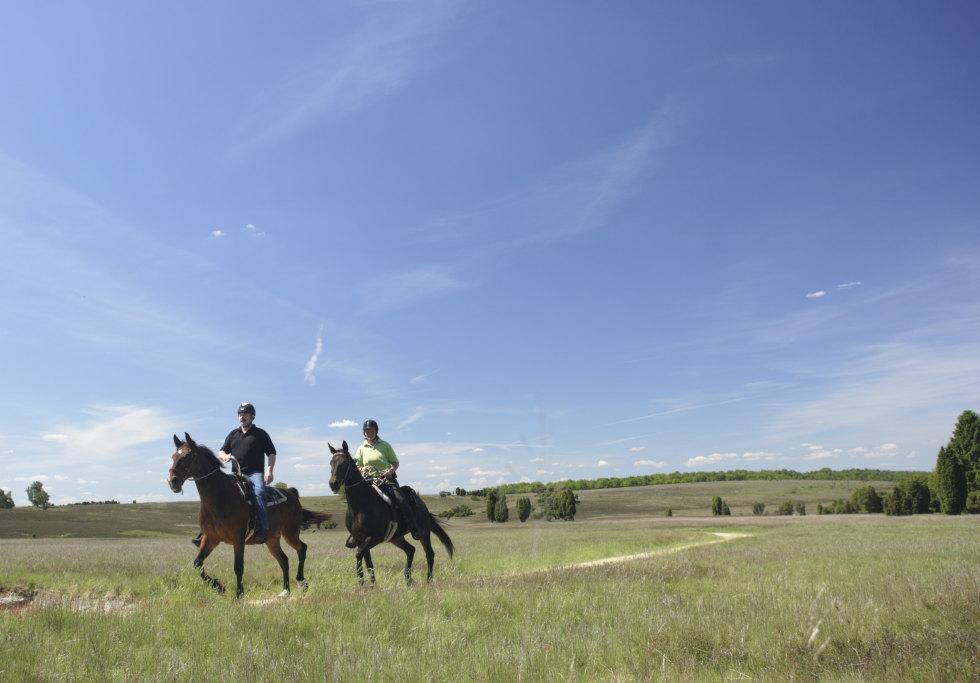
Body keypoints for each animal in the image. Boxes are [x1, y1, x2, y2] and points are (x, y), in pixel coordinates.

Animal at [170, 432, 332, 600]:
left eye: (188, 456)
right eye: (174, 456)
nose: (172, 481)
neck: (221, 495)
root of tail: (292, 493)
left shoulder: (238, 538)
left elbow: (238, 567)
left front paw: (239, 595)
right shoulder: (211, 538)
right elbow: (197, 563)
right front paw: (218, 586)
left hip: (290, 533)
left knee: (302, 548)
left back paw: (301, 583)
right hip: (272, 540)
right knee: (284, 560)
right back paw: (285, 591)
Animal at [328, 444, 454, 588]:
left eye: (344, 462)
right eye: (331, 463)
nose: (333, 484)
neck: (360, 505)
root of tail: (423, 506)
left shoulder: (375, 537)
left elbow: (359, 554)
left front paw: (363, 583)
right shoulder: (360, 539)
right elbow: (368, 562)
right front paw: (371, 585)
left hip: (423, 533)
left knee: (429, 554)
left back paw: (428, 581)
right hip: (396, 538)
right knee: (410, 550)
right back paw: (408, 579)